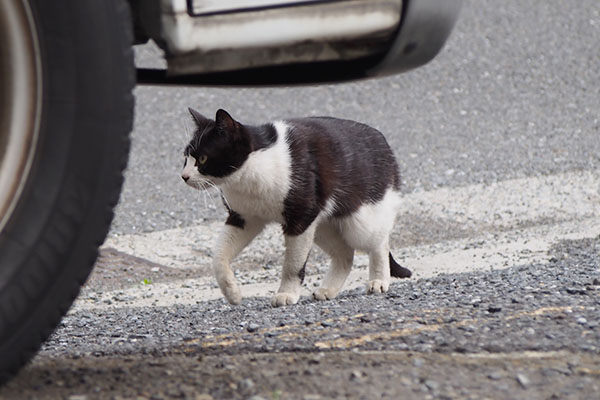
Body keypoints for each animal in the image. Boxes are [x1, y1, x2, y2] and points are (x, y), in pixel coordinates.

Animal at [180, 107, 410, 306]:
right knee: (345, 254)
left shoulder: (300, 219)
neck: (249, 174)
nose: (184, 176)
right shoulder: (244, 218)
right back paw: (328, 290)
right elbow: (218, 255)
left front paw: (286, 294)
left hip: (360, 221)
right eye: (186, 158)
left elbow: (292, 265)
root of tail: (383, 141)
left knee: (379, 243)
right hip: (322, 225)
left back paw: (379, 281)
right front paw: (232, 292)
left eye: (203, 158)